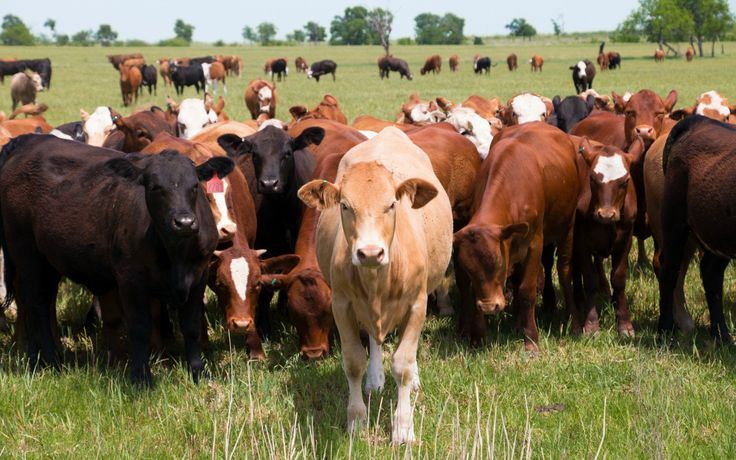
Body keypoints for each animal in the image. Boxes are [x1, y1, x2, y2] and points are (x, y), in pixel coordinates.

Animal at [0, 134, 234, 385]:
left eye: (195, 186)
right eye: (155, 187)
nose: (184, 222)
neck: (175, 254)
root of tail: (30, 140)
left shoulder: (199, 274)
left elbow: (191, 325)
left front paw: (199, 372)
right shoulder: (130, 277)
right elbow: (139, 326)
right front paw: (141, 378)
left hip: (49, 259)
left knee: (42, 300)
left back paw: (38, 359)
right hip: (26, 252)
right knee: (37, 303)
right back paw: (51, 361)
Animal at [298, 127, 453, 444]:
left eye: (391, 204)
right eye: (345, 205)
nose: (370, 252)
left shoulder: (418, 303)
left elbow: (403, 364)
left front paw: (403, 427)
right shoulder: (341, 305)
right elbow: (353, 361)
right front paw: (357, 420)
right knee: (373, 338)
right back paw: (375, 378)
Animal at [453, 122, 580, 347]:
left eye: (498, 265)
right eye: (468, 270)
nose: (489, 307)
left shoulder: (535, 243)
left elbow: (526, 290)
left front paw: (531, 338)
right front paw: (478, 337)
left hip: (568, 225)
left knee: (565, 271)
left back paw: (573, 322)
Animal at [573, 136, 645, 336]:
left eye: (625, 181)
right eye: (592, 178)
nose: (606, 214)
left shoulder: (625, 241)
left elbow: (618, 279)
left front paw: (624, 323)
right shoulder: (581, 242)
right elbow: (589, 279)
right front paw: (591, 324)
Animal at [658, 116, 736, 343]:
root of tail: (700, 120)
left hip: (718, 232)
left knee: (711, 274)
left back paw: (721, 335)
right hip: (674, 222)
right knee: (669, 271)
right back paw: (665, 332)